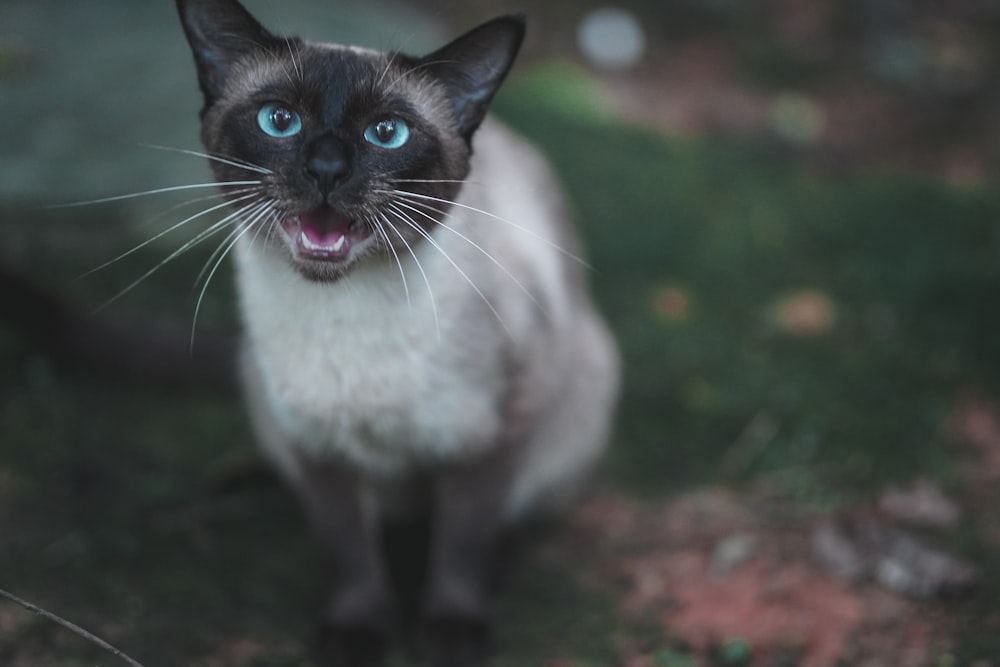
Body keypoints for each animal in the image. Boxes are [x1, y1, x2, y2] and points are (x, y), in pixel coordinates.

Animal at [176, 2, 620, 664]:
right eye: (279, 121)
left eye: (387, 133)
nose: (326, 169)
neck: (346, 320)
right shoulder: (317, 447)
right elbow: (348, 549)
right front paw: (359, 633)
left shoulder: (493, 435)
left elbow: (463, 541)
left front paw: (451, 632)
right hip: (257, 388)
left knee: (516, 518)